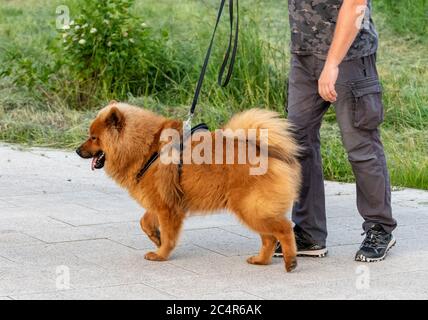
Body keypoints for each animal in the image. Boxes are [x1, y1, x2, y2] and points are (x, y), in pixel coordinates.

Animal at [78, 102, 302, 272]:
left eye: (94, 137)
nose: (77, 150)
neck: (147, 147)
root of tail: (262, 148)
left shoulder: (167, 208)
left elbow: (168, 236)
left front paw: (161, 254)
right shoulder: (161, 201)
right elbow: (145, 222)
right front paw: (156, 238)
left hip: (250, 208)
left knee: (283, 229)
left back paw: (290, 260)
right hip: (251, 210)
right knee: (269, 237)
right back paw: (261, 260)